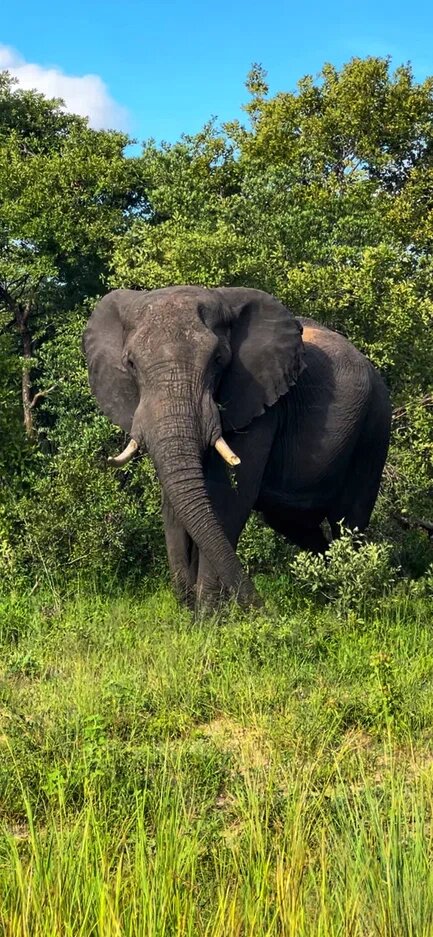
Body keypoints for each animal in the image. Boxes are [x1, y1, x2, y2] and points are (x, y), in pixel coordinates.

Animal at [83, 286, 391, 610]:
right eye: (130, 364)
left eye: (219, 360)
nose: (264, 609)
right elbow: (175, 506)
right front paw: (190, 613)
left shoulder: (260, 403)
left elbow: (229, 499)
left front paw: (208, 616)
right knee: (294, 524)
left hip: (374, 425)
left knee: (350, 519)